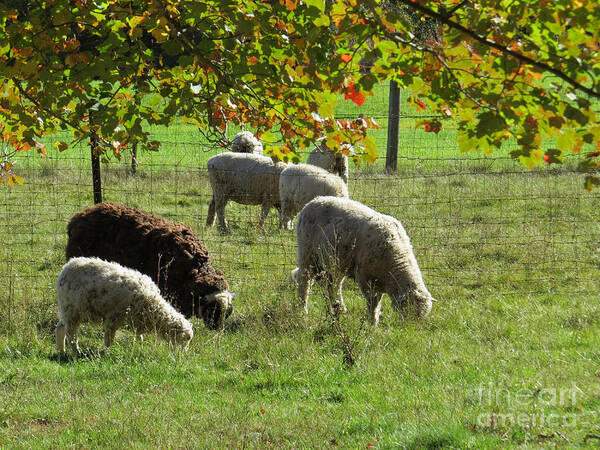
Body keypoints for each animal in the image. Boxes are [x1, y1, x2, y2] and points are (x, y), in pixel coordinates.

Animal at [55, 256, 193, 352]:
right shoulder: (113, 318)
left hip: (68, 310)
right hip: (72, 310)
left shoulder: (138, 320)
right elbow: (109, 338)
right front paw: (106, 352)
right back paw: (76, 352)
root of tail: (66, 267)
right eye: (186, 339)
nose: (182, 355)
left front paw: (140, 346)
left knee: (60, 327)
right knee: (71, 334)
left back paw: (62, 351)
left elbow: (139, 336)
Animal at [292, 196, 436, 324]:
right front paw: (372, 323)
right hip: (308, 254)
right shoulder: (365, 277)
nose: (411, 328)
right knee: (304, 281)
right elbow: (373, 303)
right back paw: (303, 310)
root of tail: (314, 200)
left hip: (335, 263)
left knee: (332, 285)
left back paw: (337, 308)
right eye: (409, 311)